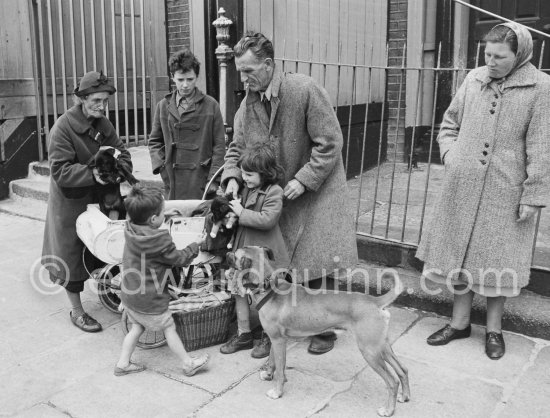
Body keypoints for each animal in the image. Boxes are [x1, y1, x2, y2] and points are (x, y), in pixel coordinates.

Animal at [226, 247, 412, 416]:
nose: (227, 252)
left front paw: (277, 392)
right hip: (382, 347)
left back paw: (388, 410)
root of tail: (374, 301)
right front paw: (268, 375)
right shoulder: (274, 340)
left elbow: (280, 369)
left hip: (370, 352)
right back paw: (405, 396)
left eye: (235, 254)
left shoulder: (279, 341)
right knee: (403, 369)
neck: (270, 288)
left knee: (392, 381)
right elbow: (272, 361)